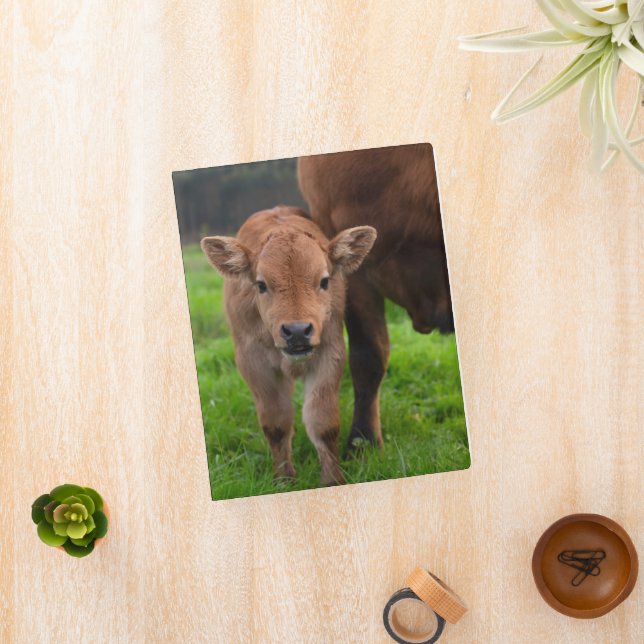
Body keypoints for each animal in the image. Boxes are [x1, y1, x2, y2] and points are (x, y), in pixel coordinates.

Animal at [201, 206, 376, 486]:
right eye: (261, 284)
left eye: (324, 281)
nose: (297, 331)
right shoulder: (253, 363)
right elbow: (276, 423)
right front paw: (284, 480)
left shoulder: (330, 353)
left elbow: (323, 422)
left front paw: (332, 480)